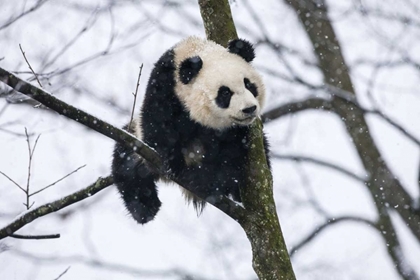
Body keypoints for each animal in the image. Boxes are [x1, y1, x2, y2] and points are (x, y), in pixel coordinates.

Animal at [111, 37, 270, 224]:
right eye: (225, 93)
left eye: (249, 84)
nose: (249, 109)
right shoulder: (164, 85)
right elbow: (158, 124)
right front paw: (172, 163)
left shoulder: (238, 131)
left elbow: (231, 154)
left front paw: (202, 178)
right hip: (136, 139)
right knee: (127, 163)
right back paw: (145, 208)